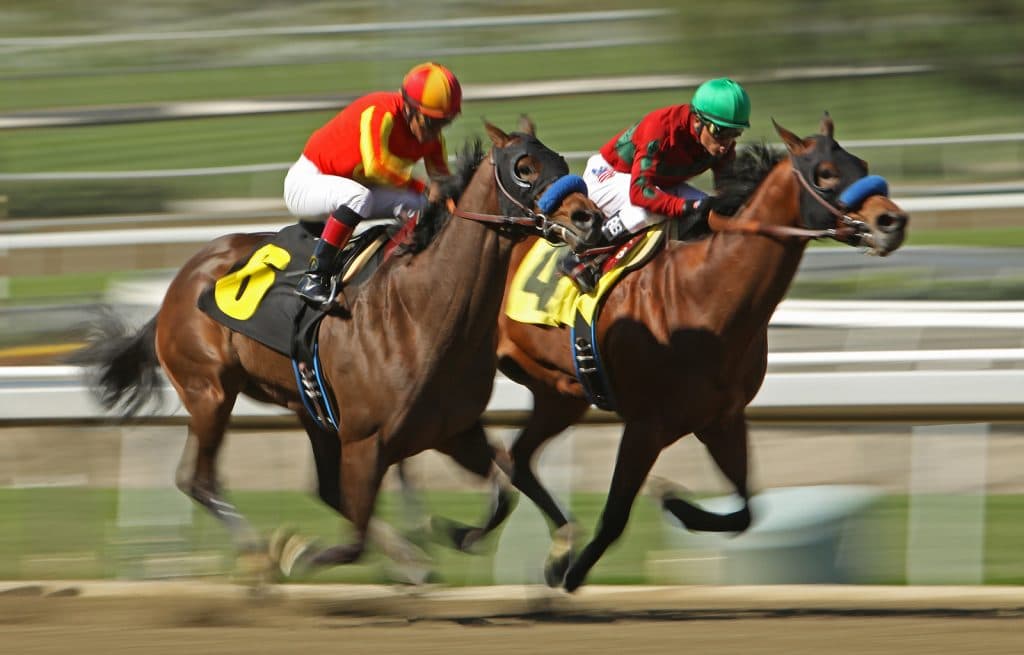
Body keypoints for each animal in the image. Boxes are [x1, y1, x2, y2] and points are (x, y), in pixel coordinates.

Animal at [75, 118, 602, 577]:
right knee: (198, 479)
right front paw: (302, 553)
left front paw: (457, 534)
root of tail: (179, 285)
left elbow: (502, 492)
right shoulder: (365, 440)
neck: (423, 307)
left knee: (325, 491)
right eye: (524, 167)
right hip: (210, 391)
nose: (588, 218)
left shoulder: (452, 430)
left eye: (558, 159)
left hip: (308, 408)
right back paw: (261, 557)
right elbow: (355, 538)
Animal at [487, 115, 913, 589]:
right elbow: (616, 517)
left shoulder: (721, 419)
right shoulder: (646, 426)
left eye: (861, 164)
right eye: (825, 173)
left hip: (560, 393)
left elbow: (747, 512)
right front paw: (575, 574)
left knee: (517, 458)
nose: (891, 221)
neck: (703, 293)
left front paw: (677, 505)